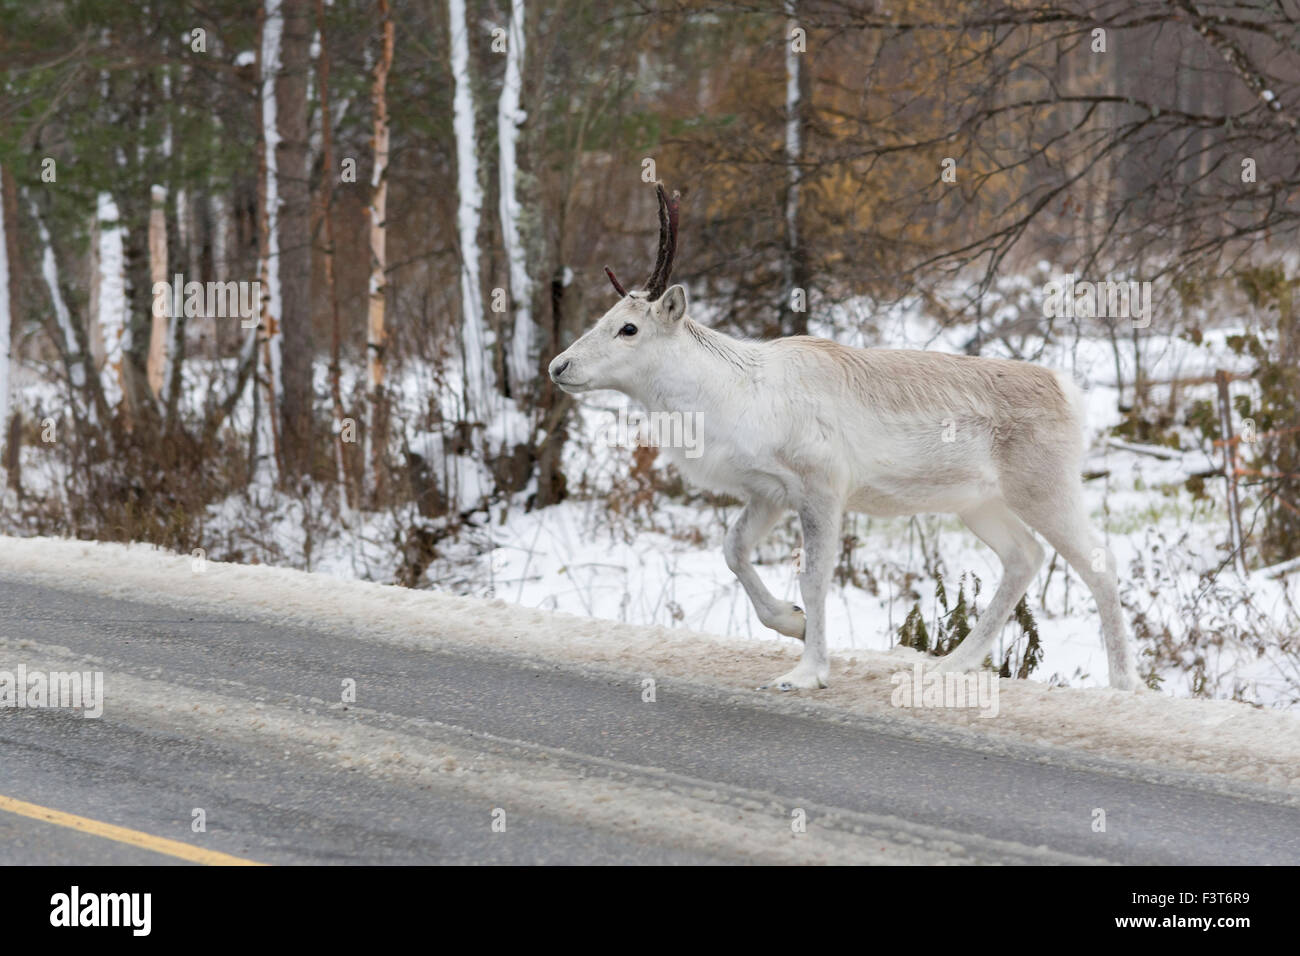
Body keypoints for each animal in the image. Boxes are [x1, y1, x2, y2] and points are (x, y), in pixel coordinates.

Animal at [548, 183, 1140, 693]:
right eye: (604, 316)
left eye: (629, 328)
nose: (558, 366)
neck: (730, 396)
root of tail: (1069, 392)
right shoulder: (768, 491)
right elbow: (733, 550)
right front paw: (792, 623)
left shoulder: (822, 485)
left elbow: (814, 576)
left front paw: (806, 672)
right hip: (978, 501)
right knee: (1025, 556)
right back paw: (952, 664)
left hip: (1043, 485)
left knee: (1099, 562)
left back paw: (1122, 684)